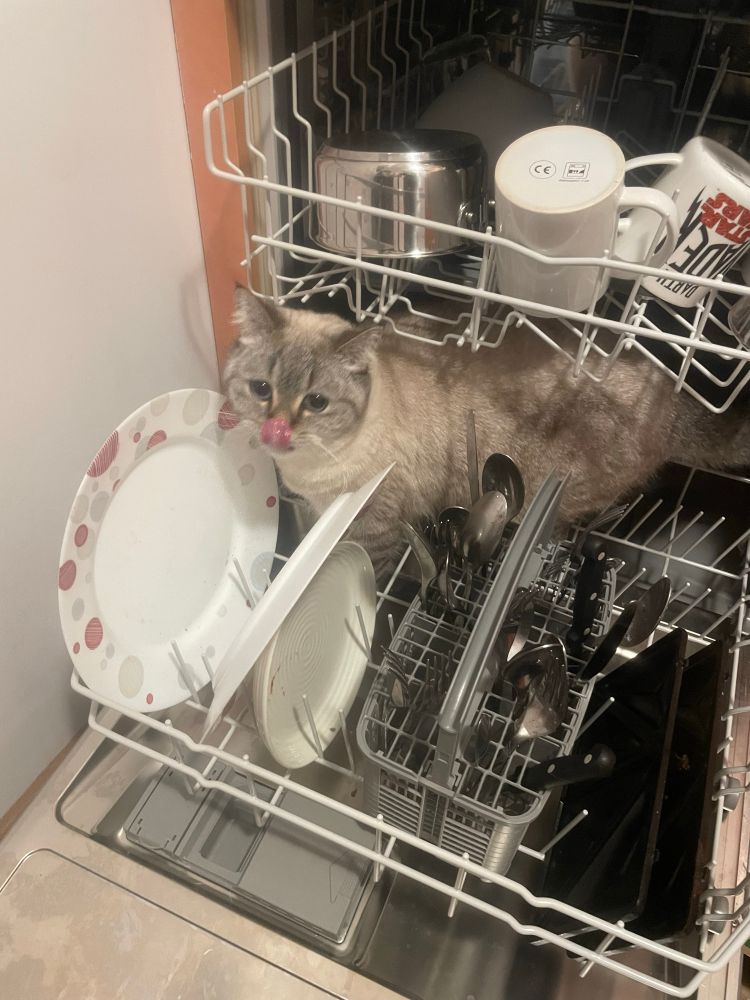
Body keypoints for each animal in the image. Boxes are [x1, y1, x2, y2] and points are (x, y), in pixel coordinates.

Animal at [224, 286, 750, 576]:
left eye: (316, 402)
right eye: (261, 389)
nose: (275, 431)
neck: (310, 470)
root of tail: (671, 393)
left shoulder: (376, 530)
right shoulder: (317, 511)